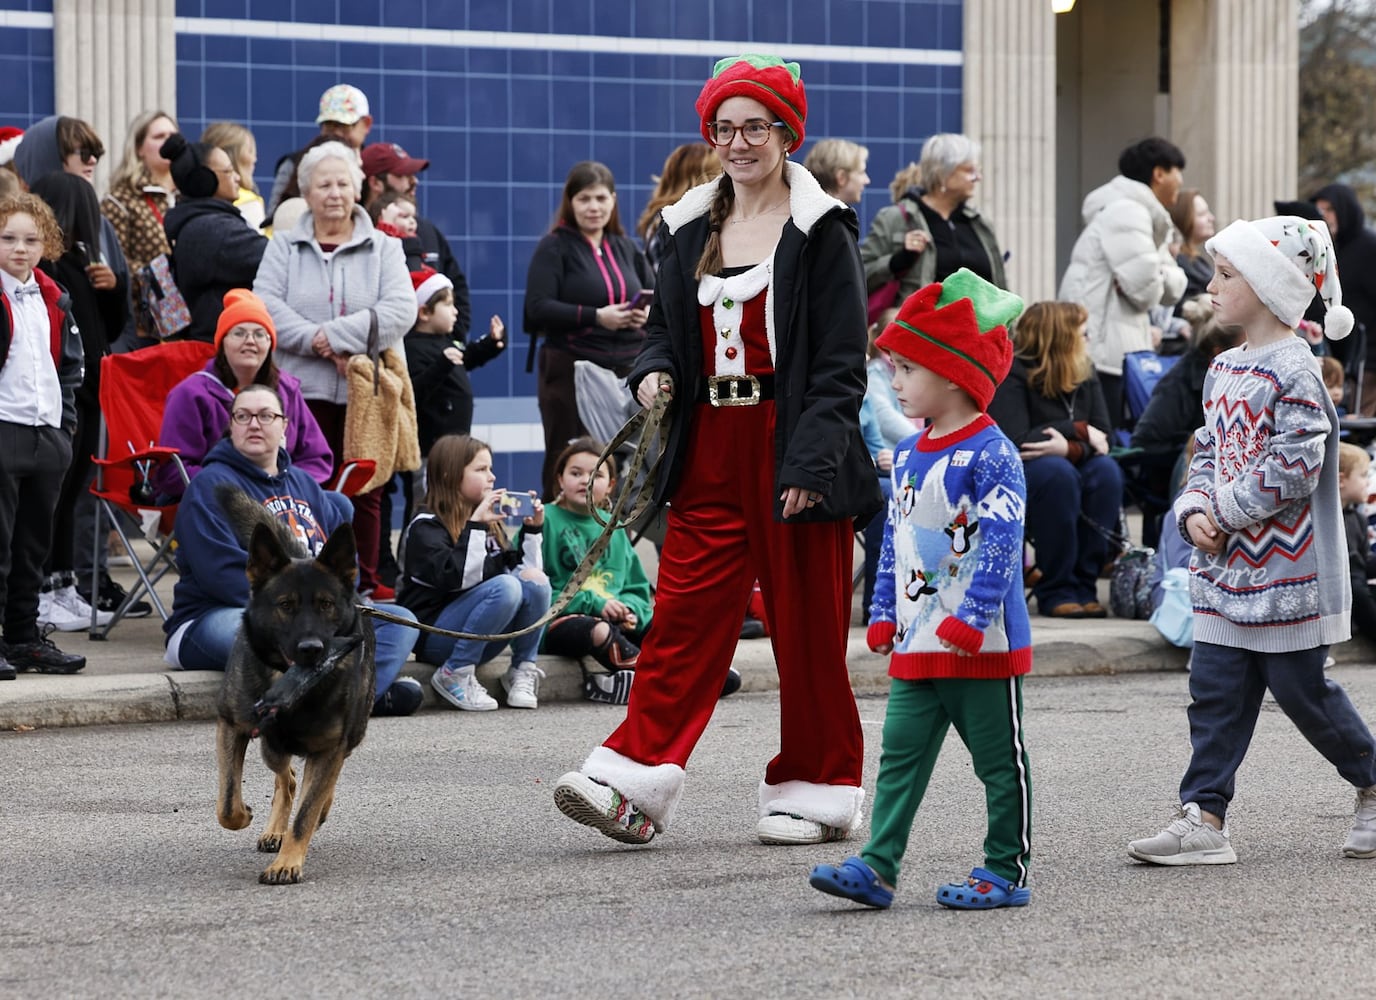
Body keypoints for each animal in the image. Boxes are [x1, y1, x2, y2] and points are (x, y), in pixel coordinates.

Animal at [209, 489, 374, 885]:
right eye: (285, 605)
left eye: (326, 605)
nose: (312, 649)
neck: (293, 684)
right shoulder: (232, 726)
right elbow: (227, 803)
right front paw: (246, 815)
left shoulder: (330, 748)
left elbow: (306, 814)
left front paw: (288, 863)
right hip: (272, 747)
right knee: (287, 778)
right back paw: (274, 829)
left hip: (350, 736)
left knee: (310, 784)